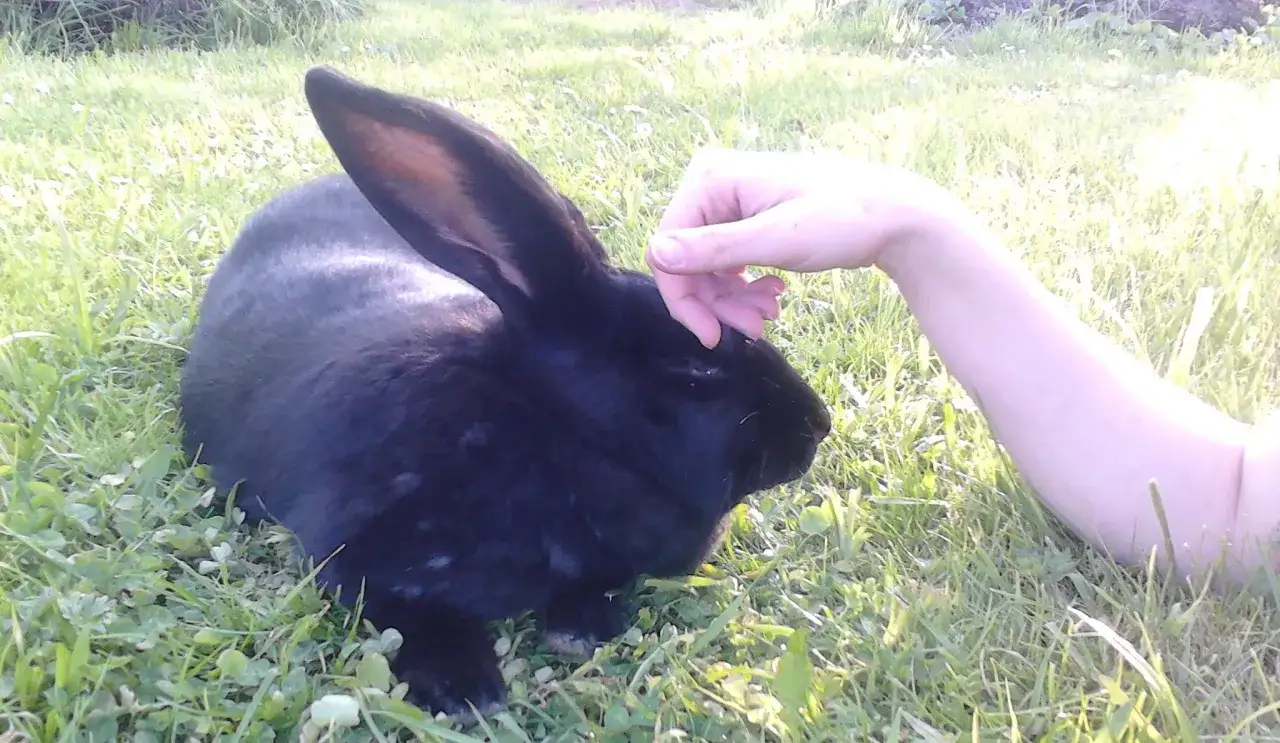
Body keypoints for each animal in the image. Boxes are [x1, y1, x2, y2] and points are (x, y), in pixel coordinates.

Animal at [178, 65, 832, 719]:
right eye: (696, 367)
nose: (817, 426)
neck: (555, 431)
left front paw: (579, 627)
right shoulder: (347, 551)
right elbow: (404, 613)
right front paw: (464, 686)